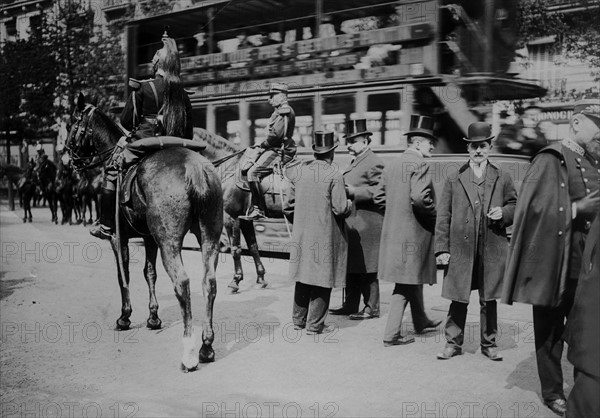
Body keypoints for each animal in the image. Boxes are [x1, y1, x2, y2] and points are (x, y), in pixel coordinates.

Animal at [66, 93, 225, 370]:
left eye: (73, 124)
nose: (67, 157)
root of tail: (194, 168)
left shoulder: (119, 239)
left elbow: (124, 276)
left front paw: (124, 317)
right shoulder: (149, 239)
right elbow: (150, 274)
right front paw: (153, 317)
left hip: (169, 242)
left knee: (182, 283)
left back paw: (189, 352)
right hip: (209, 238)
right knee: (209, 283)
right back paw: (206, 346)